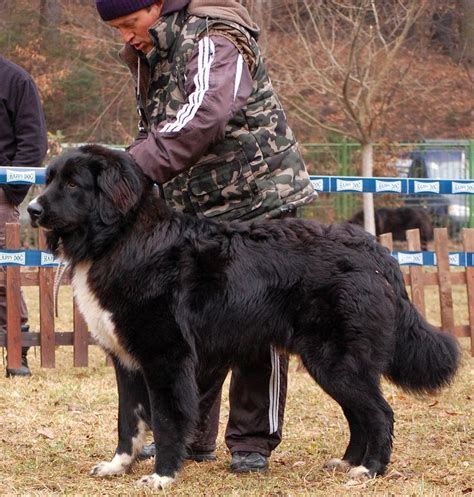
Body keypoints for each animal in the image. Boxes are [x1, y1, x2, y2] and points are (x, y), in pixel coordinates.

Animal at [26, 143, 460, 488]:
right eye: (49, 180)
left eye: (72, 185)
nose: (31, 209)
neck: (122, 237)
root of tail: (377, 252)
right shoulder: (127, 360)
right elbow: (127, 420)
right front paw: (118, 465)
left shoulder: (165, 358)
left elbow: (166, 420)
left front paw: (162, 475)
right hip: (331, 364)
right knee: (359, 414)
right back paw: (347, 461)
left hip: (337, 361)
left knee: (380, 414)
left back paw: (370, 470)